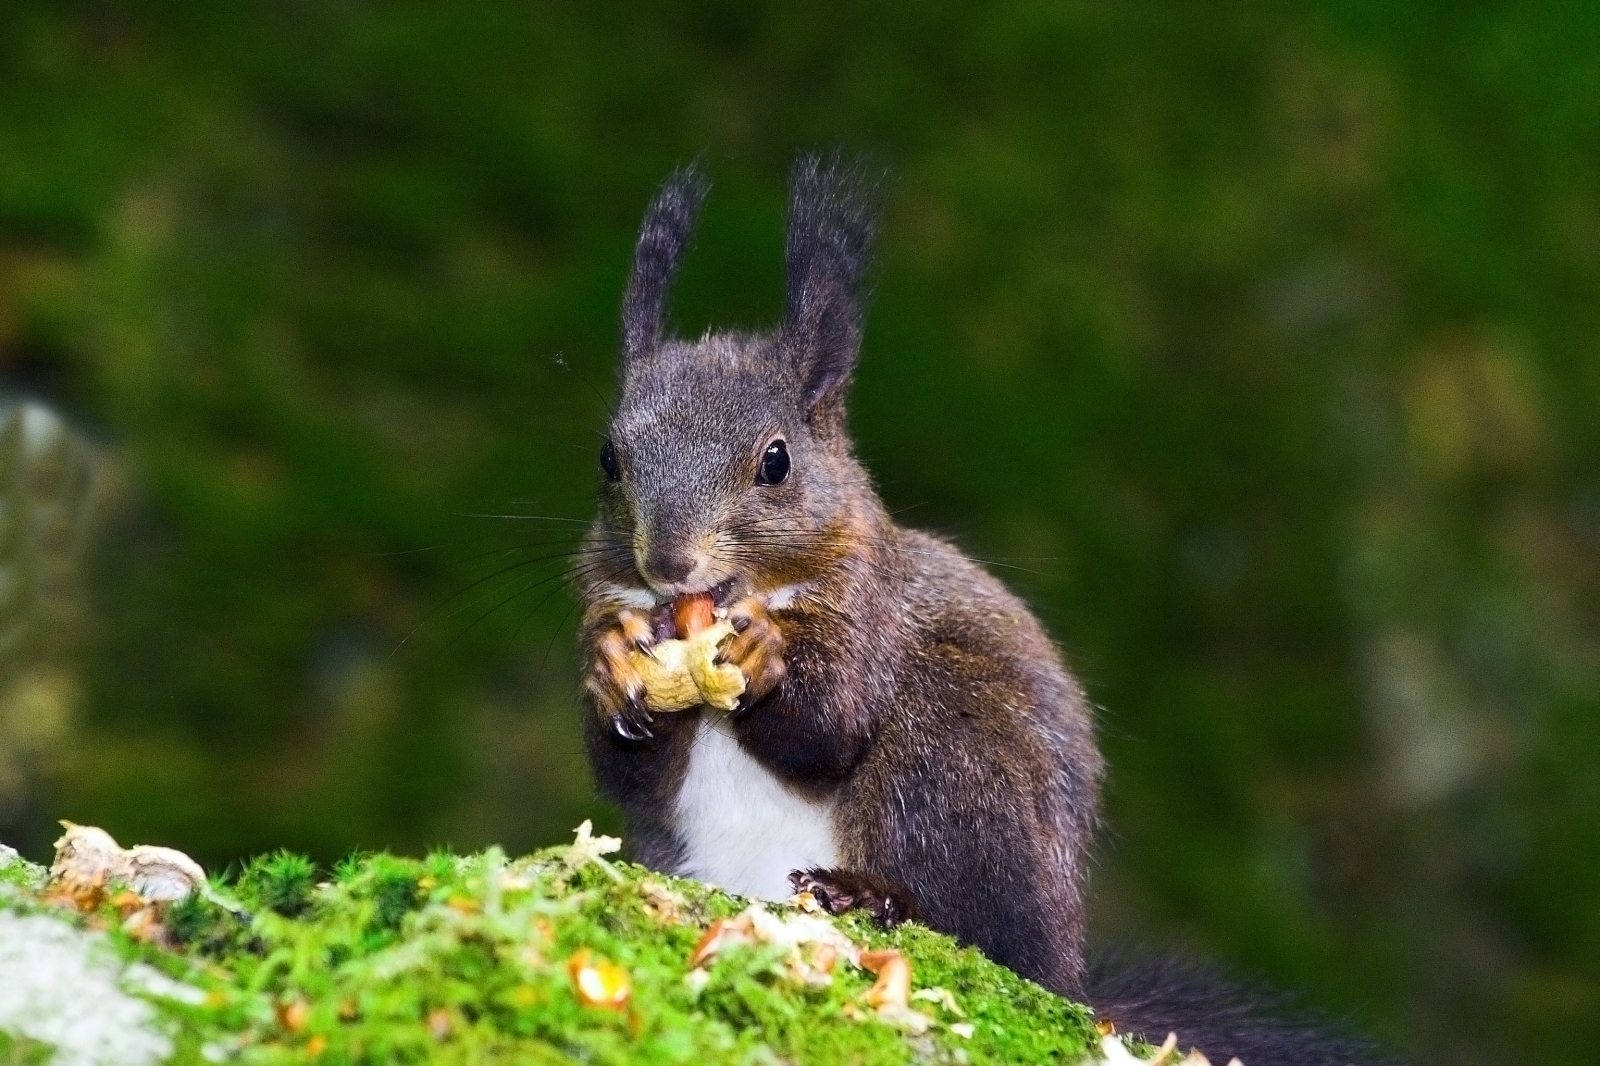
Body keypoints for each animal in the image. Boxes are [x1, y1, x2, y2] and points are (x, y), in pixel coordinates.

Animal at [576, 151, 1388, 1062]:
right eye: (609, 457)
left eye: (775, 462)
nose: (668, 564)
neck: (756, 591)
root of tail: (1066, 971)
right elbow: (630, 771)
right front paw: (612, 670)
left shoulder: (873, 614)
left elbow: (831, 730)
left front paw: (763, 660)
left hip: (955, 758)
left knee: (973, 917)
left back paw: (872, 895)